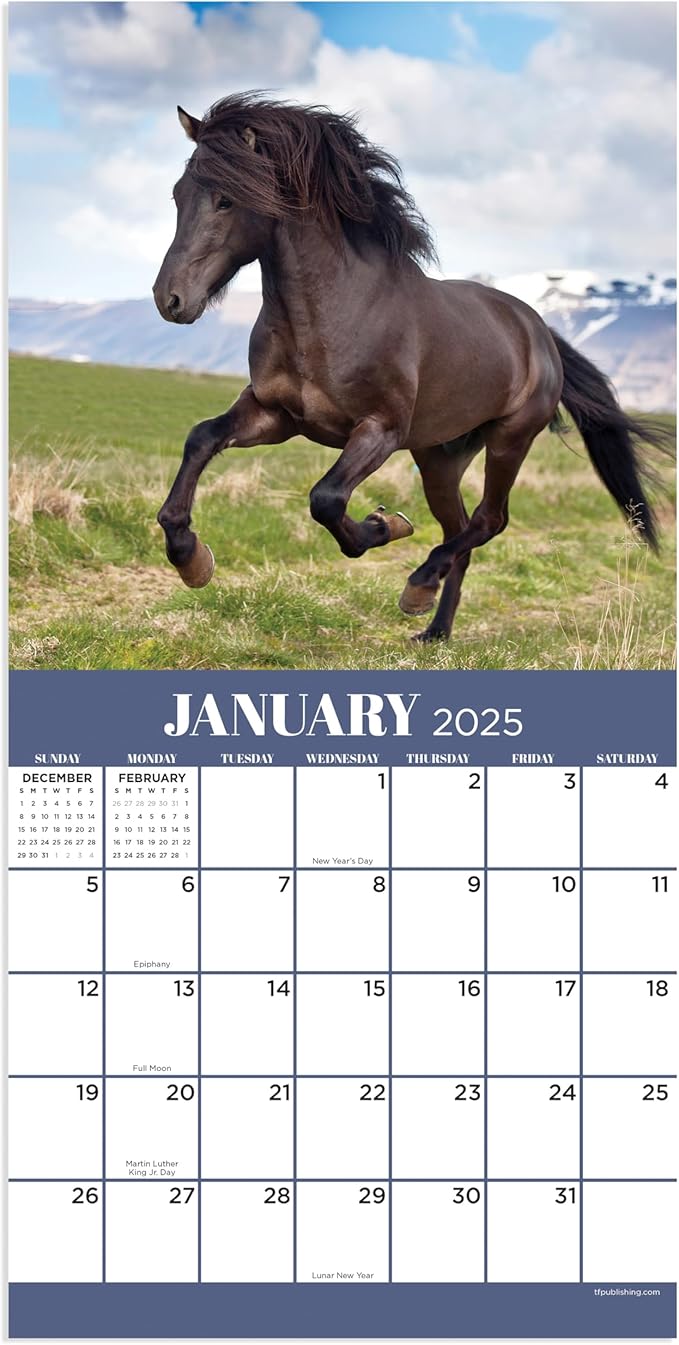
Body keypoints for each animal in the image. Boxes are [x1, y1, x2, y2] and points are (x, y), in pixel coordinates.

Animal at [153, 92, 668, 643]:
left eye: (226, 199)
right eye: (178, 194)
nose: (170, 299)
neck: (333, 312)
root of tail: (539, 332)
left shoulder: (380, 430)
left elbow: (326, 498)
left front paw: (384, 525)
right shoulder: (276, 414)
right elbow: (202, 438)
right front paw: (190, 557)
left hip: (510, 439)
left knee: (489, 520)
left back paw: (419, 584)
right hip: (439, 457)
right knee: (459, 527)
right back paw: (434, 628)